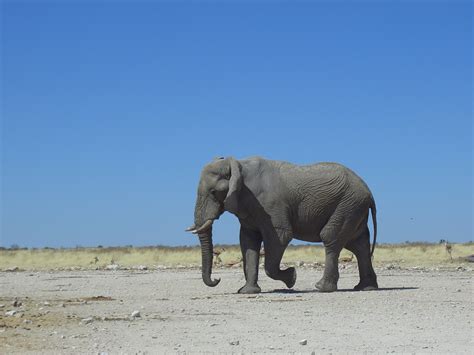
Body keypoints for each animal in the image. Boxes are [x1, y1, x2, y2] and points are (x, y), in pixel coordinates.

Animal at [185, 157, 378, 294]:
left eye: (213, 192)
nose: (217, 280)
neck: (238, 164)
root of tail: (369, 192)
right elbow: (248, 241)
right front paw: (246, 292)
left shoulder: (270, 207)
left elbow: (280, 236)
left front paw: (292, 277)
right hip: (353, 208)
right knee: (359, 245)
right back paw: (365, 288)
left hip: (348, 204)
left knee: (331, 238)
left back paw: (322, 288)